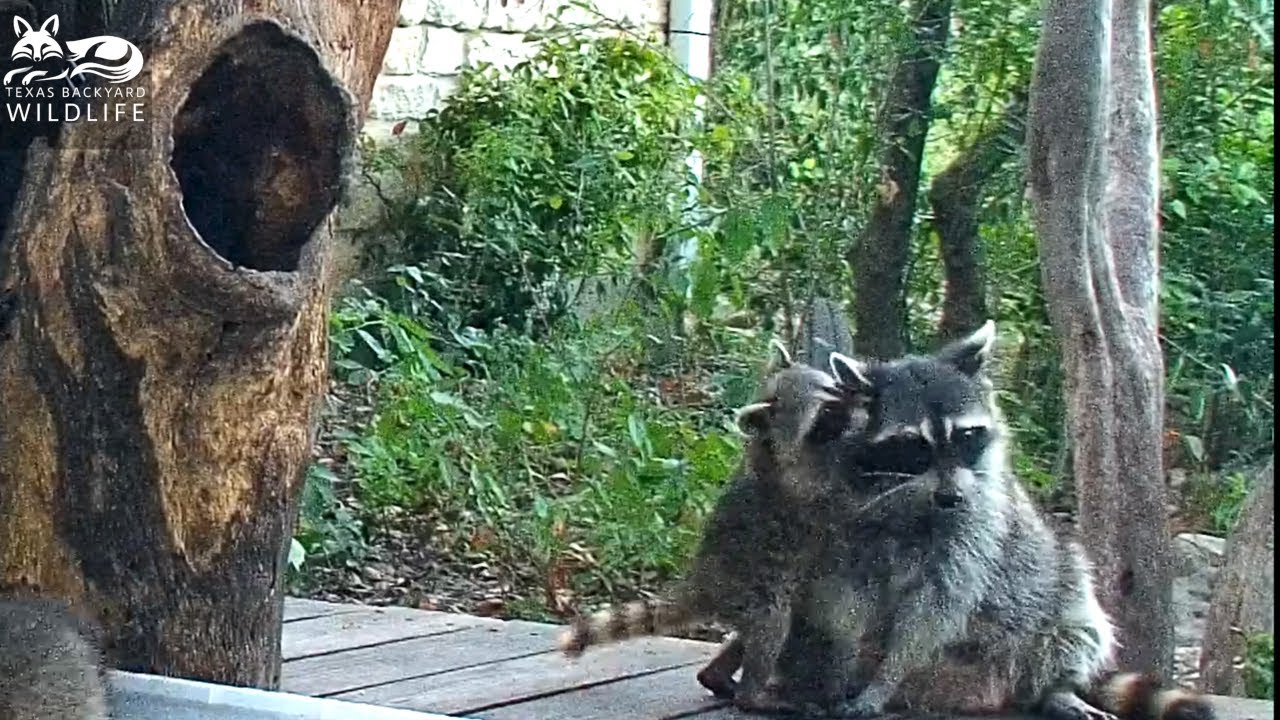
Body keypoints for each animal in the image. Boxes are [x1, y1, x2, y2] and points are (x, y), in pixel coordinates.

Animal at [558, 340, 869, 712]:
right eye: (824, 412)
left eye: (834, 389)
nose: (855, 401)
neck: (771, 448)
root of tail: (702, 583)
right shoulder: (807, 488)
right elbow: (845, 496)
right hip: (751, 589)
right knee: (771, 626)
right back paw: (753, 695)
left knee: (749, 635)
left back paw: (716, 674)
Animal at [784, 321, 1215, 720]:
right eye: (914, 445)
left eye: (965, 436)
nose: (951, 497)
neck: (913, 497)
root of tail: (985, 691)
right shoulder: (846, 524)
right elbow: (847, 602)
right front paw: (847, 667)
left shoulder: (977, 526)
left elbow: (936, 608)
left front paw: (887, 677)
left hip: (1055, 594)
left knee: (1075, 624)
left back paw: (1057, 688)